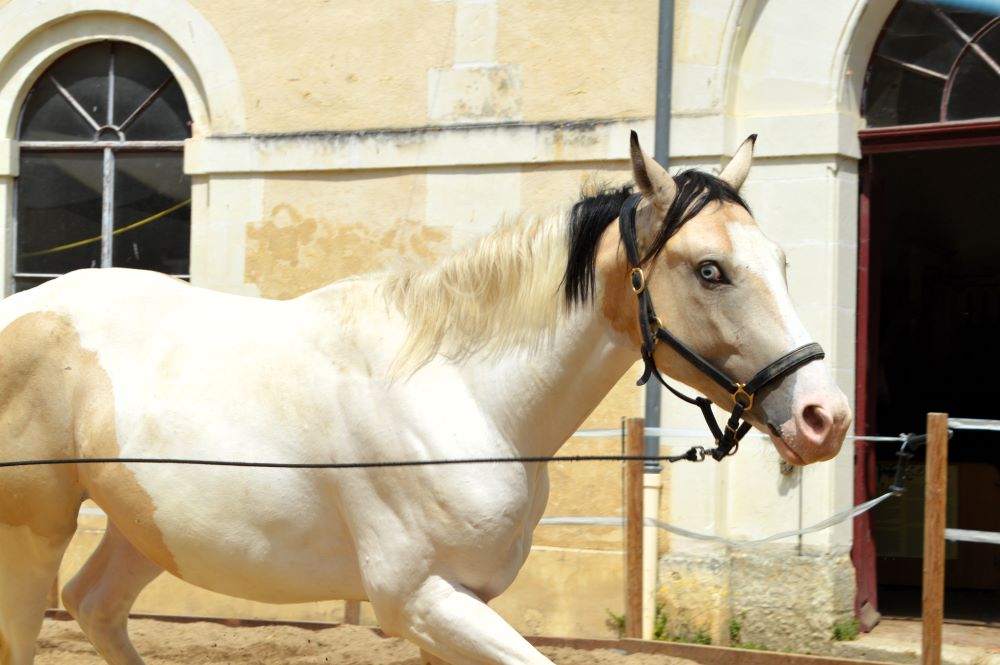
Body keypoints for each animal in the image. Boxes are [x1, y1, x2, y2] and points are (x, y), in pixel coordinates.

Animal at [0, 132, 850, 665]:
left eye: (779, 259)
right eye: (710, 269)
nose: (826, 417)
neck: (466, 395)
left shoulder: (454, 605)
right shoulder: (421, 601)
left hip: (145, 531)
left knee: (94, 604)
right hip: (34, 530)